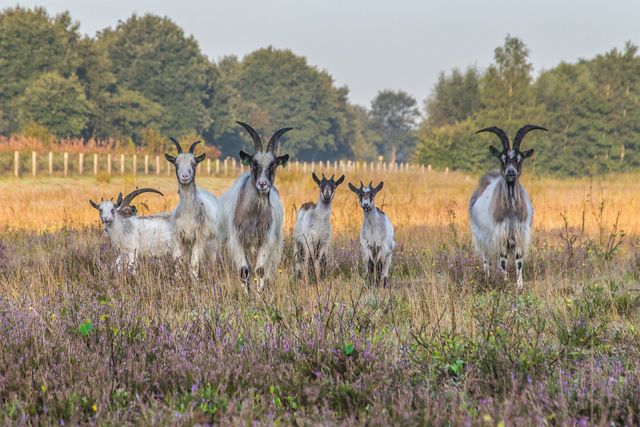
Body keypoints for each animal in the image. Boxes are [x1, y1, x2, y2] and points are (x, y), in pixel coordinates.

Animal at [165, 139, 222, 282]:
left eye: (194, 163)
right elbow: (179, 261)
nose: (185, 176)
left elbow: (194, 262)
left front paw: (195, 281)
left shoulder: (199, 236)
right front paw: (178, 280)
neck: (188, 214)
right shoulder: (179, 237)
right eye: (176, 163)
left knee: (212, 259)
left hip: (213, 240)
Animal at [219, 122, 292, 292]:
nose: (263, 184)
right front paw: (246, 294)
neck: (252, 214)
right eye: (254, 163)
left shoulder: (265, 239)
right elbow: (244, 270)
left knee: (269, 268)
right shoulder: (238, 239)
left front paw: (259, 295)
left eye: (273, 164)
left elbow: (260, 270)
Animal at [468, 125, 548, 290]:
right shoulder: (501, 234)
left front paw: (519, 286)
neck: (510, 210)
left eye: (520, 159)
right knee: (486, 260)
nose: (511, 173)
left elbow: (519, 261)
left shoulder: (519, 233)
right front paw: (504, 283)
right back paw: (488, 278)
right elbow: (503, 261)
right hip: (481, 238)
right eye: (502, 158)